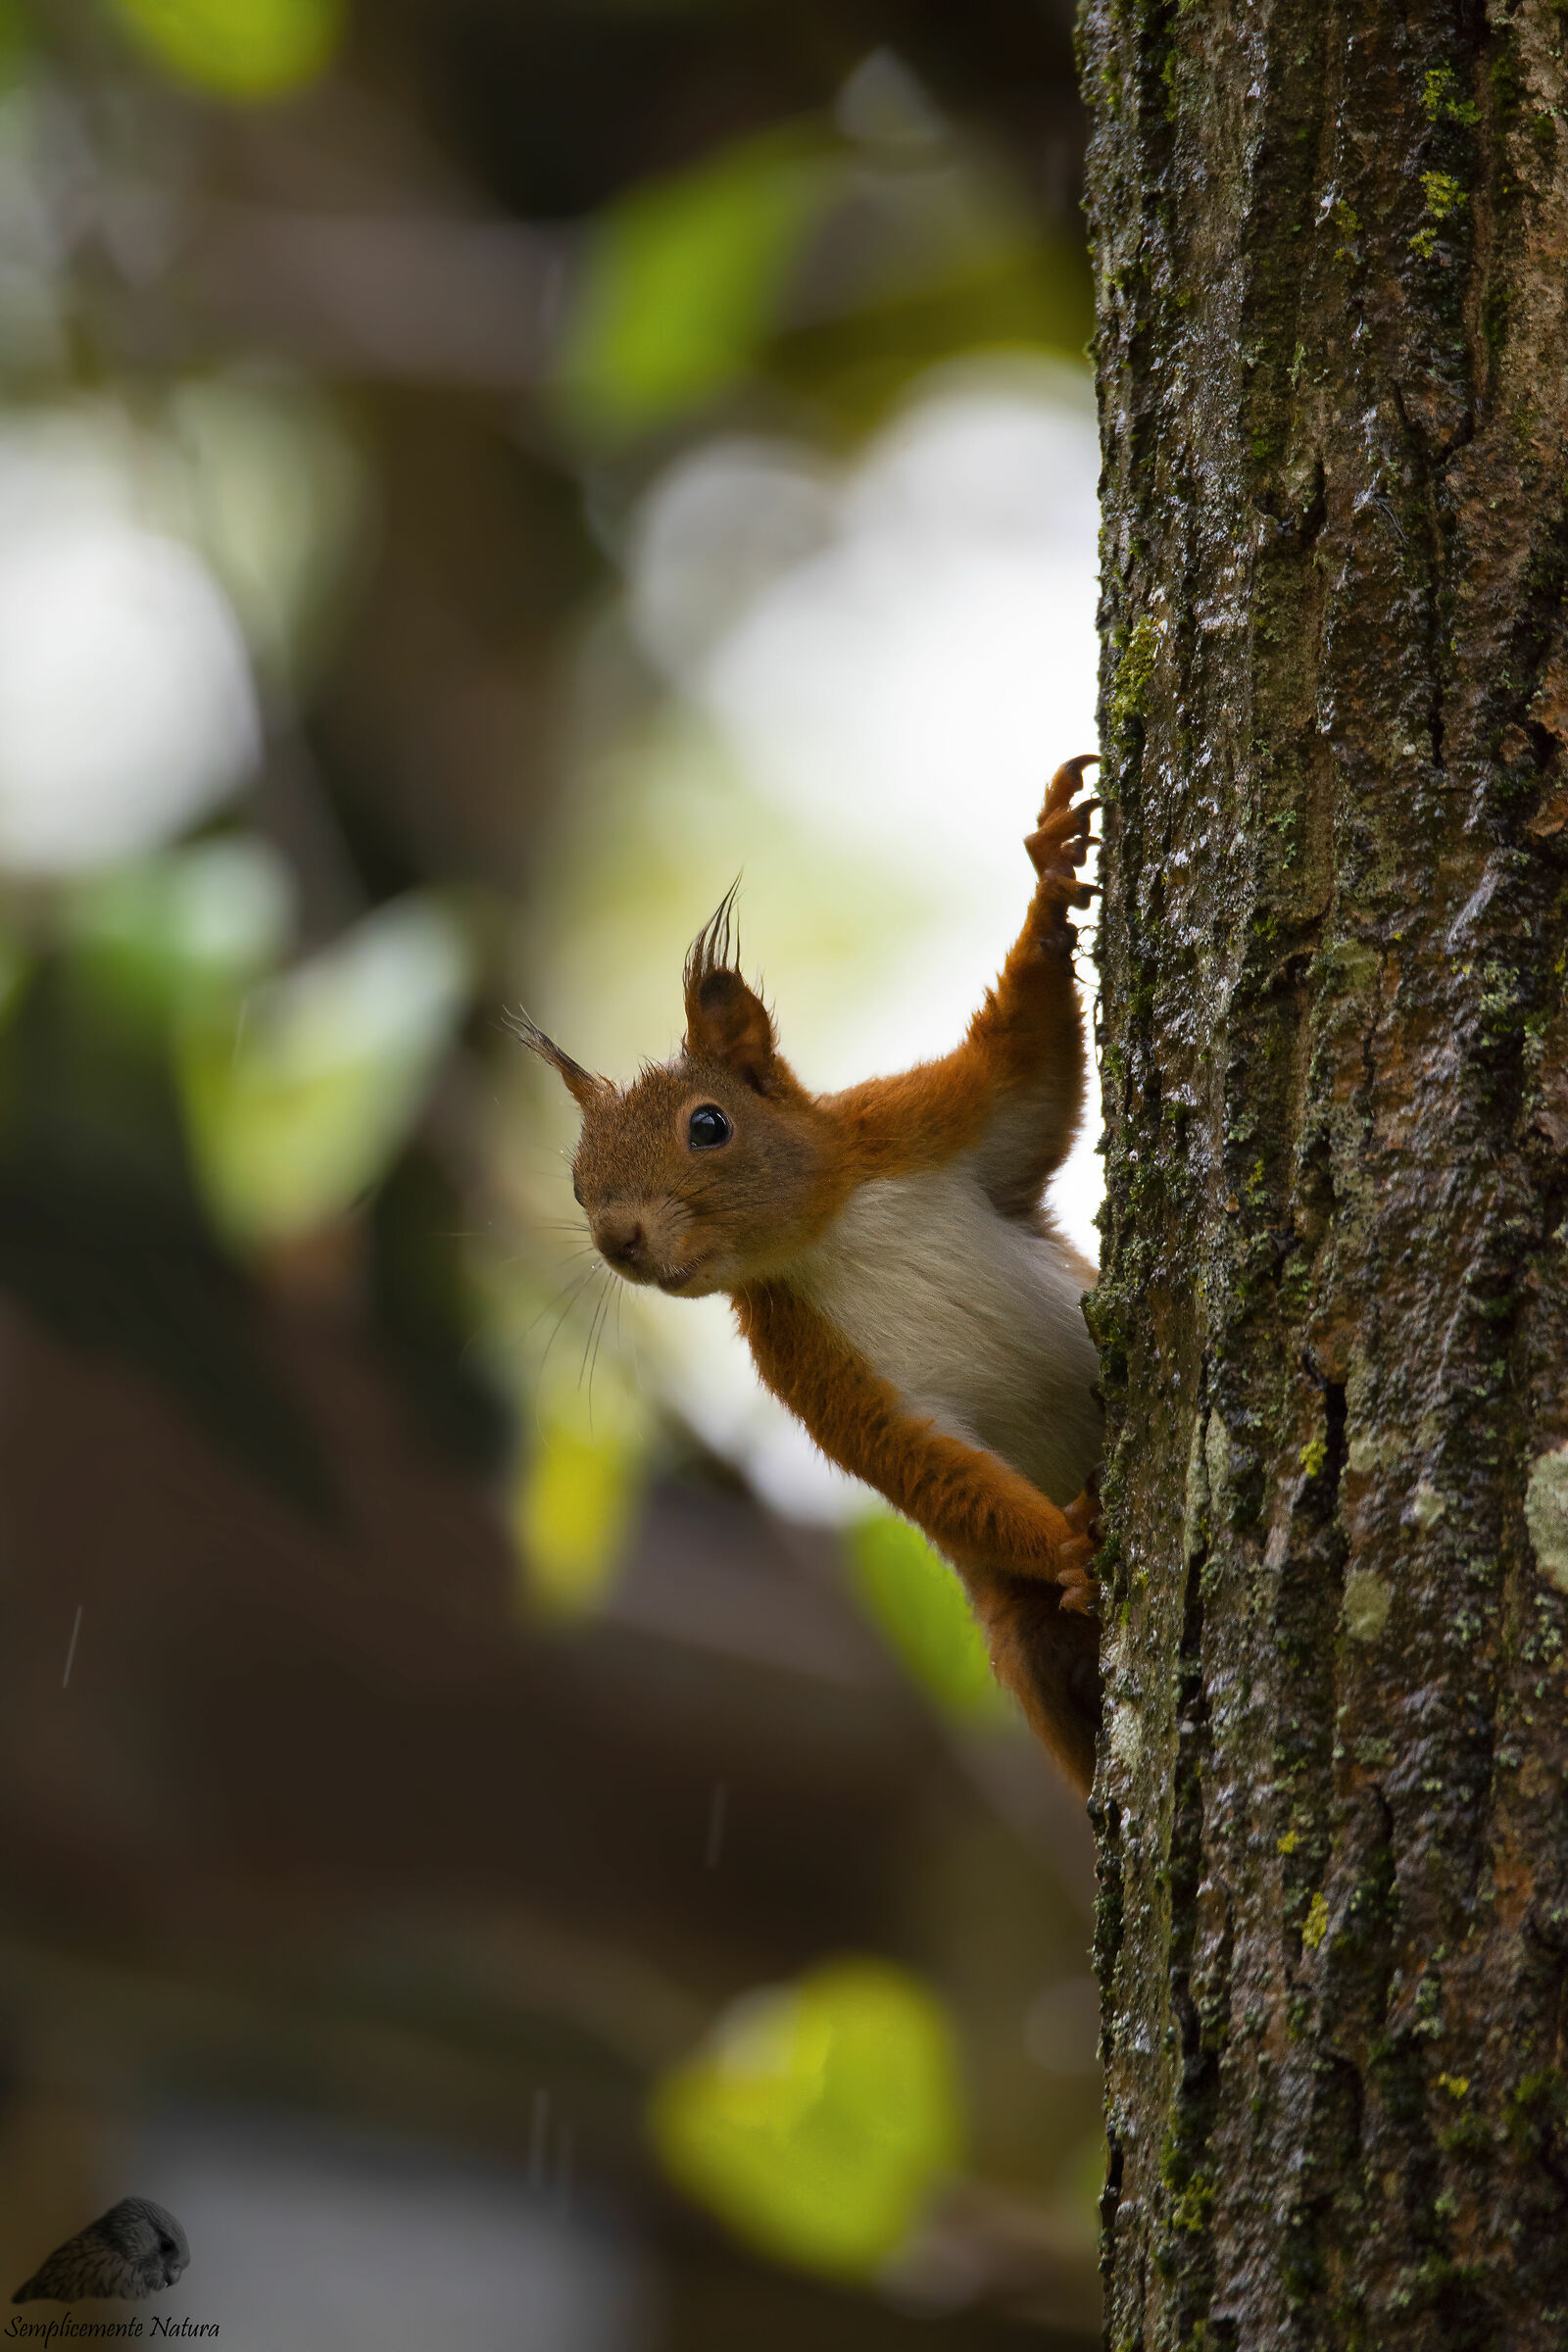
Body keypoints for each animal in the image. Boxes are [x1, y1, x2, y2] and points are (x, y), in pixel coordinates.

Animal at [519, 756, 1104, 1793]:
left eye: (710, 1125)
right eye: (578, 1183)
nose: (619, 1241)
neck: (823, 1236)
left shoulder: (917, 1124)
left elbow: (1032, 1067)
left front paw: (1049, 868)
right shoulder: (810, 1364)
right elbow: (920, 1464)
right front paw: (1067, 1545)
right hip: (1020, 1632)